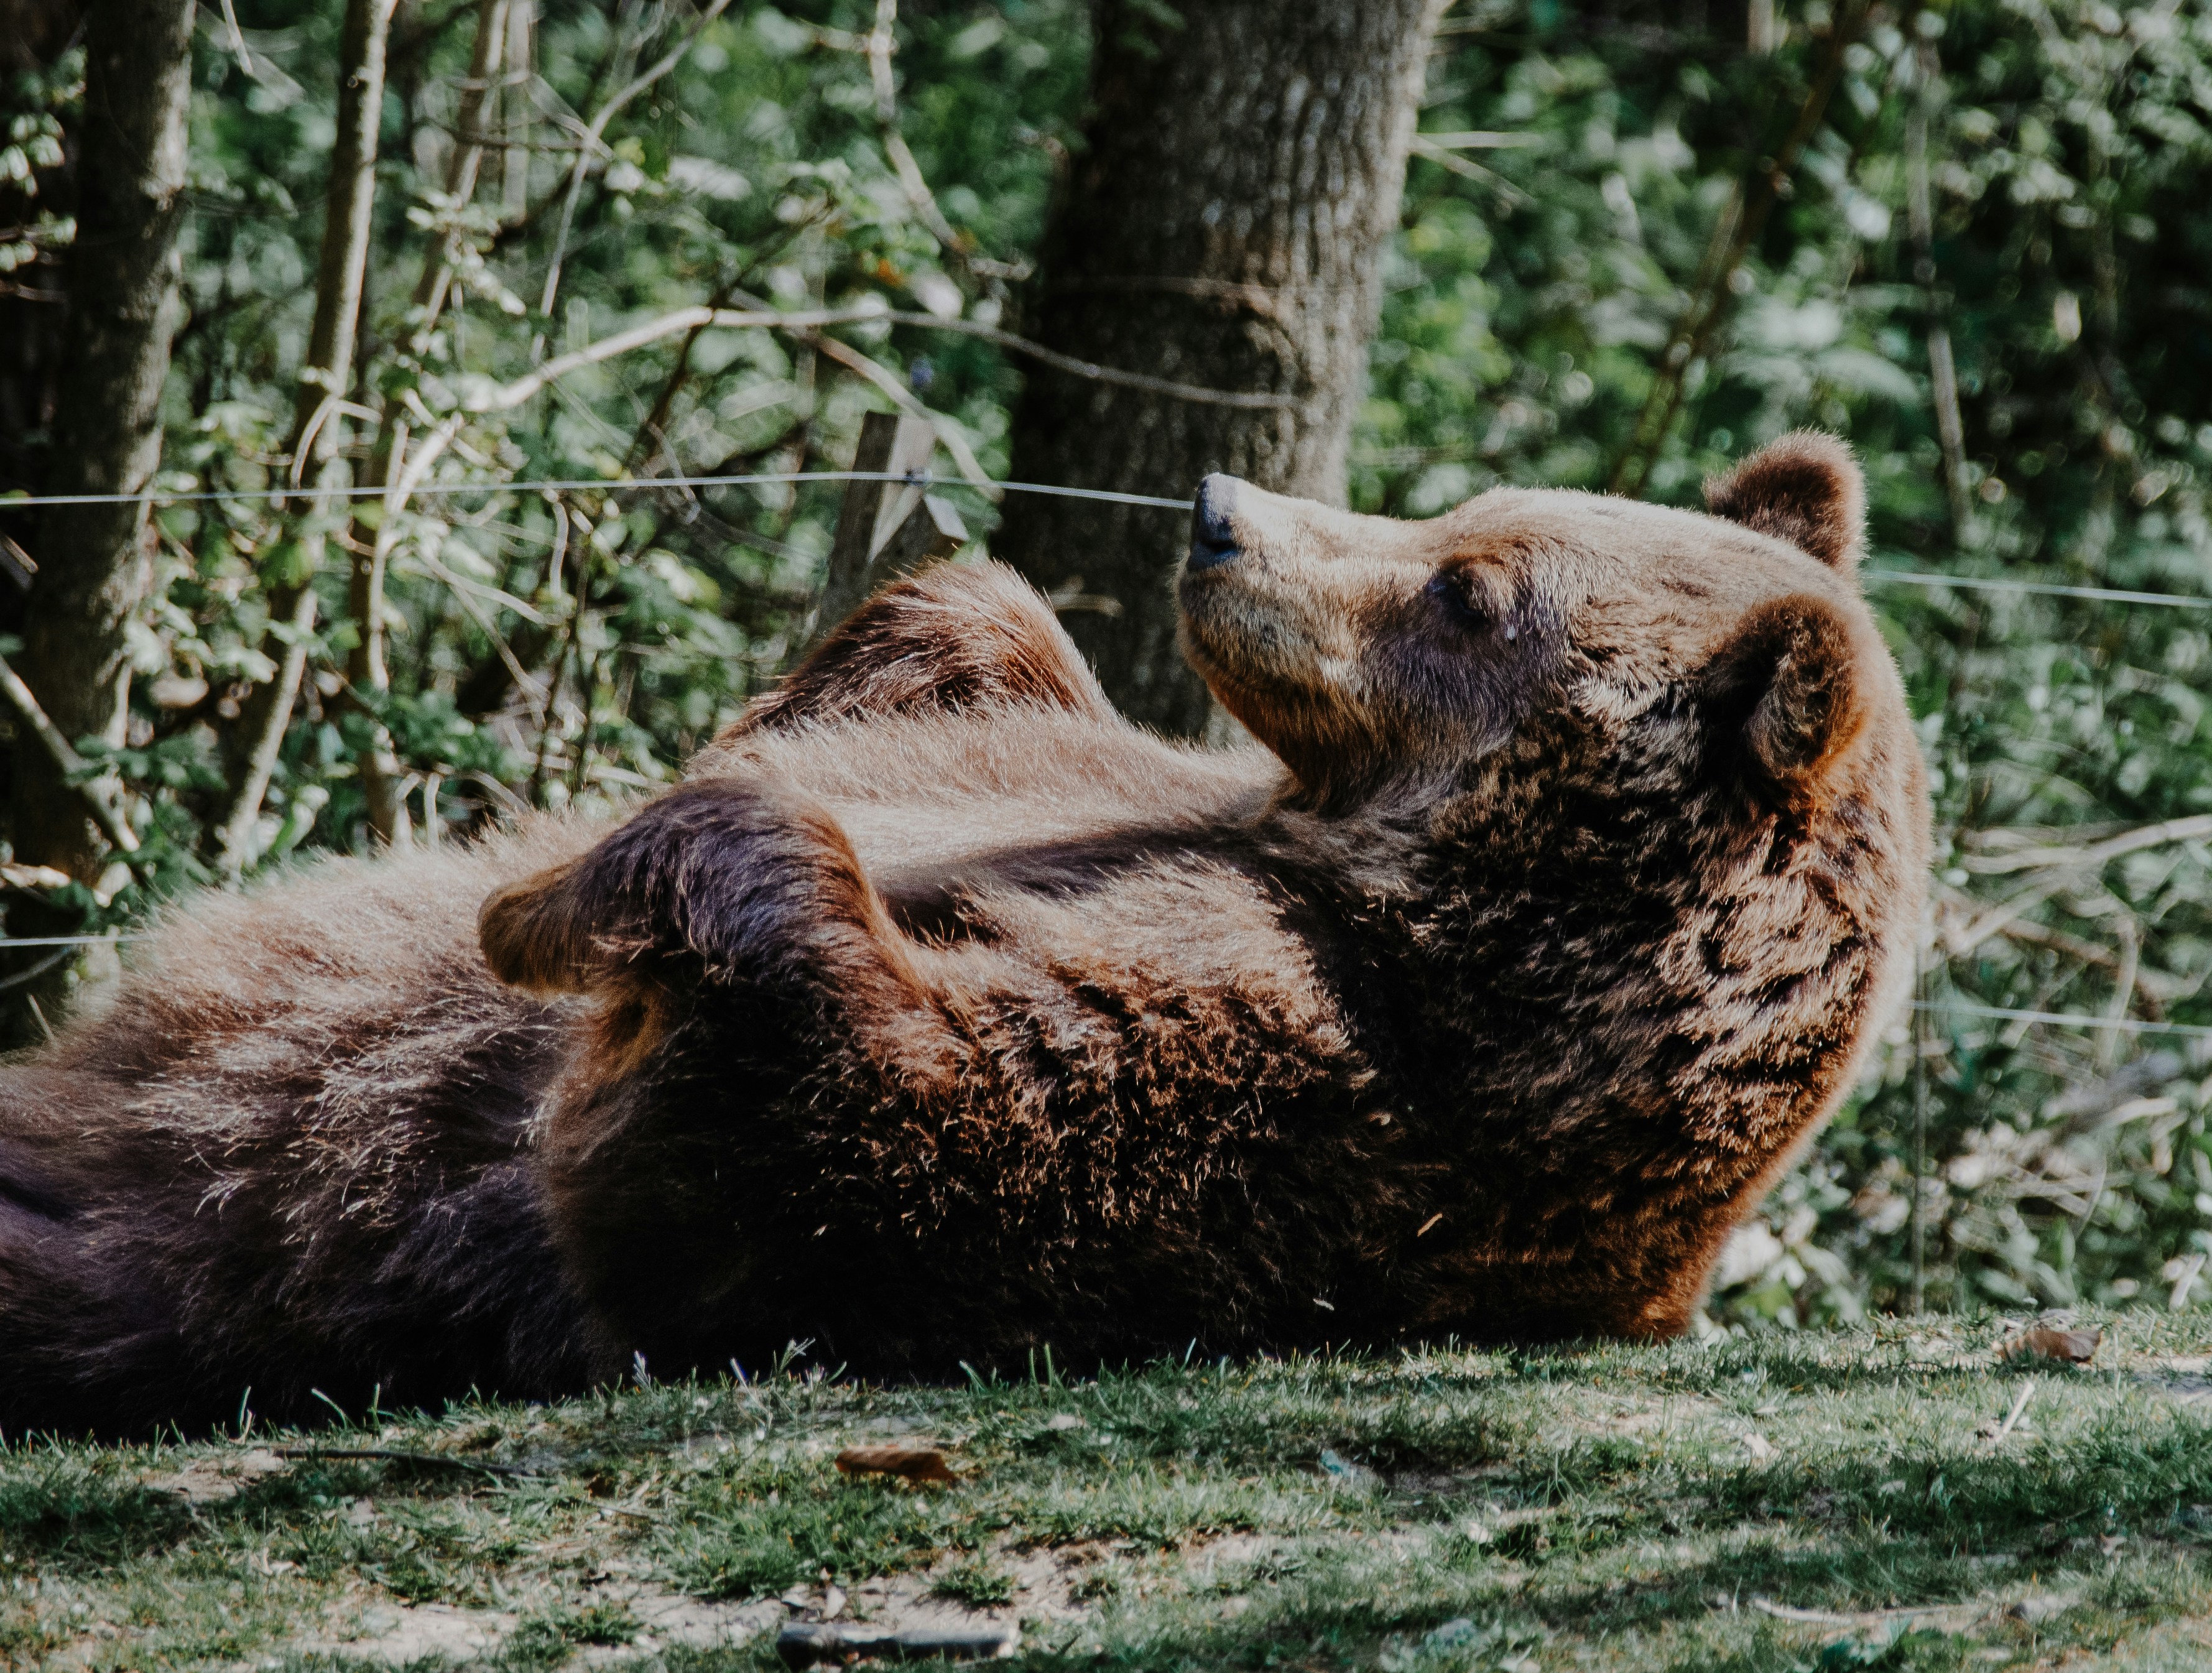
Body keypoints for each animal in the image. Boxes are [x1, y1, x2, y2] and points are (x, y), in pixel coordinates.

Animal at [0, 433, 1927, 1436]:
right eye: (1464, 511)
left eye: (1468, 591)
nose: (1219, 513)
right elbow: (964, 647)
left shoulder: (1333, 1098)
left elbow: (791, 1159)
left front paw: (553, 905)